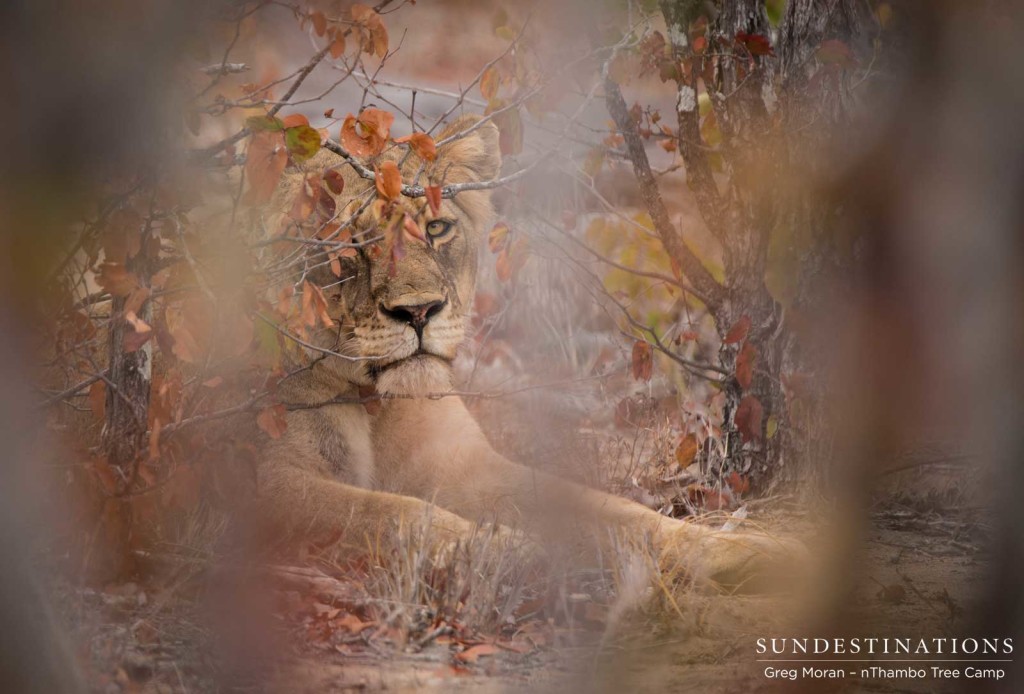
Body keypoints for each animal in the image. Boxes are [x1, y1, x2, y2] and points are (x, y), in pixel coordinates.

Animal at [253, 115, 790, 593]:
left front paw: (740, 552)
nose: (420, 311)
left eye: (437, 228)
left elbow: (611, 510)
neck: (372, 401)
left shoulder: (461, 462)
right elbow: (384, 512)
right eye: (349, 241)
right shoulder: (261, 481)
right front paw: (503, 552)